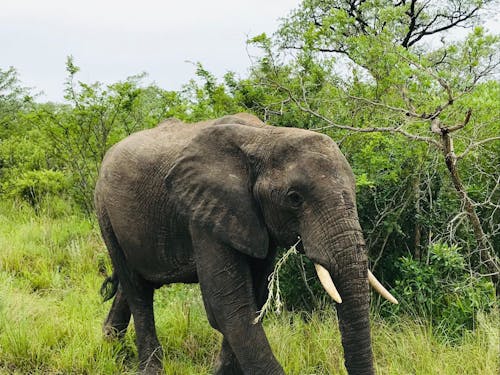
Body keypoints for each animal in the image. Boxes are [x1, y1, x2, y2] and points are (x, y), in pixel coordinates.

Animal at [94, 114, 398, 375]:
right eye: (294, 198)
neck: (265, 136)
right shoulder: (206, 212)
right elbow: (228, 306)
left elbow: (254, 300)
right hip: (104, 210)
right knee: (137, 289)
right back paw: (147, 366)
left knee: (134, 282)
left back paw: (109, 341)